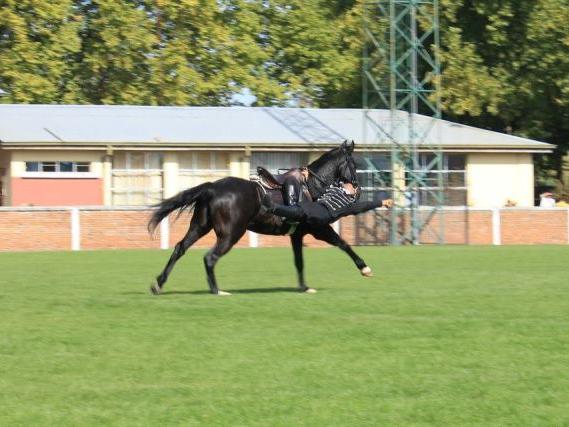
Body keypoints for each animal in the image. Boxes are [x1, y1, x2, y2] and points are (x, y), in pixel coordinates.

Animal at [146, 142, 372, 296]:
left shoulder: (297, 235)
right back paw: (217, 290)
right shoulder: (319, 229)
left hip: (200, 227)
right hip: (231, 234)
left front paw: (304, 287)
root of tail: (212, 188)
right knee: (210, 257)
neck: (312, 186)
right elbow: (343, 244)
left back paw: (159, 283)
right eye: (354, 164)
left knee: (180, 248)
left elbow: (299, 261)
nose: (358, 189)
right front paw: (364, 268)